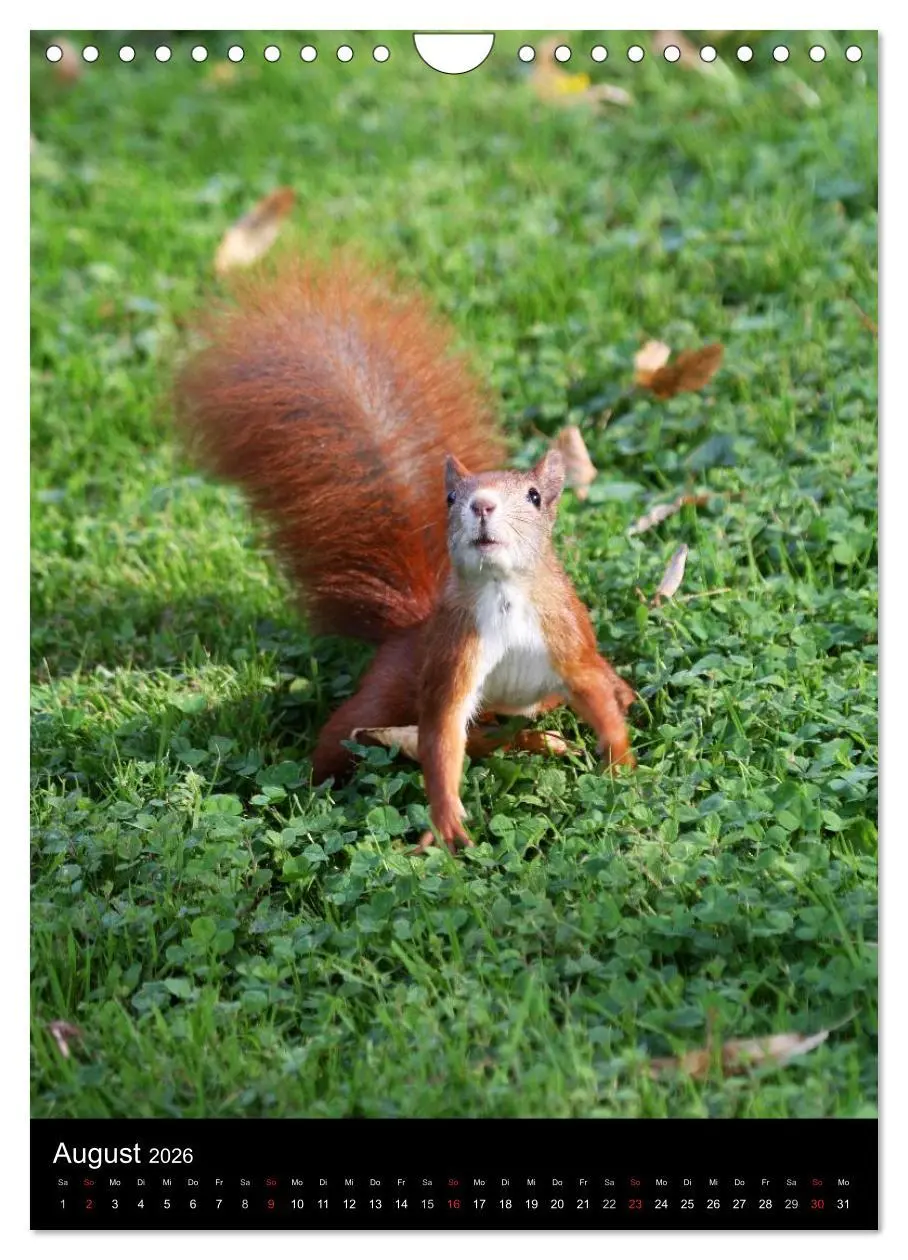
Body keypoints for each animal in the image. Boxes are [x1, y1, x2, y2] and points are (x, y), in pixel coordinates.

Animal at [174, 255, 636, 850]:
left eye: (535, 496)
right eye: (450, 498)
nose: (482, 505)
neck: (503, 593)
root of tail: (411, 629)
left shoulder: (564, 640)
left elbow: (596, 697)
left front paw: (622, 770)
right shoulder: (455, 656)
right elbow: (441, 733)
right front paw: (446, 821)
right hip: (390, 689)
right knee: (359, 736)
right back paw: (314, 791)